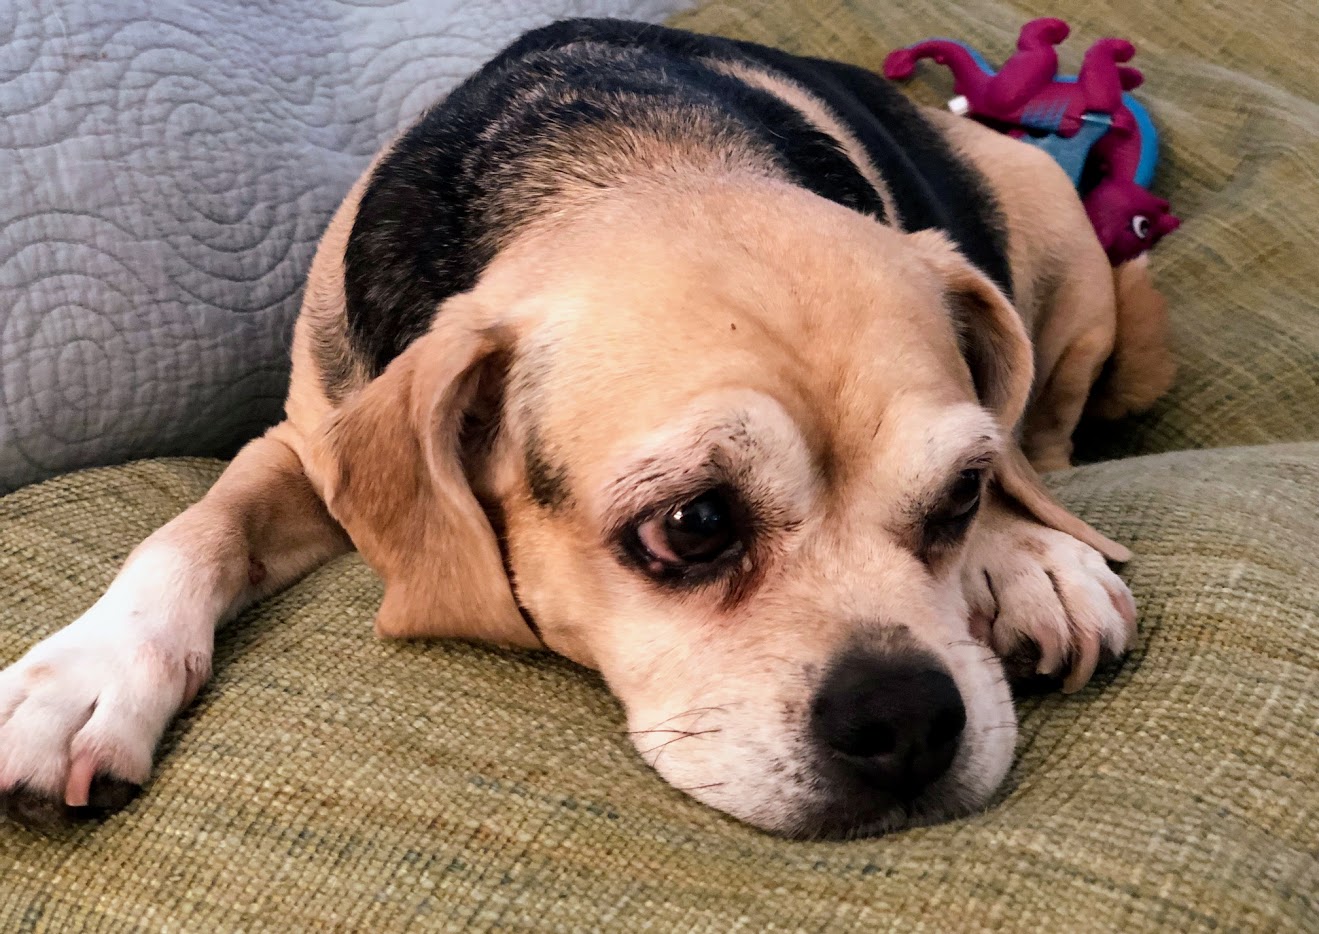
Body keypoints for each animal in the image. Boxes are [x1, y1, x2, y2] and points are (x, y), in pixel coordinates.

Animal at [0, 18, 1176, 833]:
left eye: (958, 494)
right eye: (694, 524)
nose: (911, 726)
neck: (630, 164)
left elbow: (1014, 462)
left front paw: (1018, 550)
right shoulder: (307, 443)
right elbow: (196, 528)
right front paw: (87, 674)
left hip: (1059, 252)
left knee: (1047, 436)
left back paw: (1040, 554)